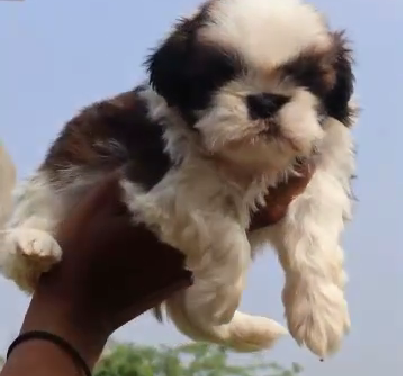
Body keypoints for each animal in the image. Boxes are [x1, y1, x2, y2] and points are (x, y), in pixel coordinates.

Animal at [0, 0, 356, 358]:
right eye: (220, 75)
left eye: (306, 78)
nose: (265, 100)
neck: (249, 163)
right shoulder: (161, 184)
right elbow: (222, 231)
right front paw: (219, 297)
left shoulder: (316, 182)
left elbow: (314, 239)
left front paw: (321, 313)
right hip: (64, 170)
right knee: (37, 217)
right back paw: (32, 243)